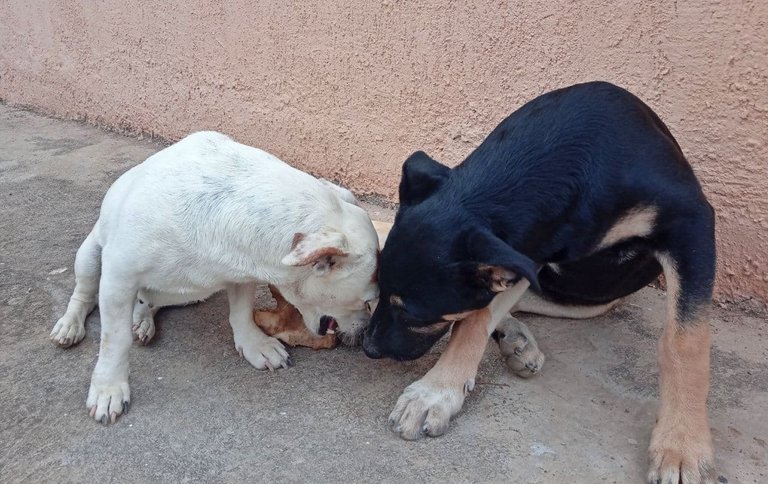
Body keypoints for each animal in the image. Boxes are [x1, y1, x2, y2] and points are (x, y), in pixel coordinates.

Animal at [49, 131, 380, 424]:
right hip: (90, 257)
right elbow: (114, 340)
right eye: (368, 302)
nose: (366, 330)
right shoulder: (119, 278)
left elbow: (241, 314)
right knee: (84, 293)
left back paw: (143, 318)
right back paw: (71, 324)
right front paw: (108, 388)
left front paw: (255, 345)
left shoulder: (242, 273)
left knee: (149, 300)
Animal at [364, 81, 716, 482]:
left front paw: (682, 444)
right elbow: (473, 318)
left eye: (414, 316)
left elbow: (684, 342)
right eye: (378, 288)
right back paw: (516, 340)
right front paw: (438, 391)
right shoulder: (525, 247)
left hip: (587, 298)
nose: (369, 348)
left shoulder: (690, 222)